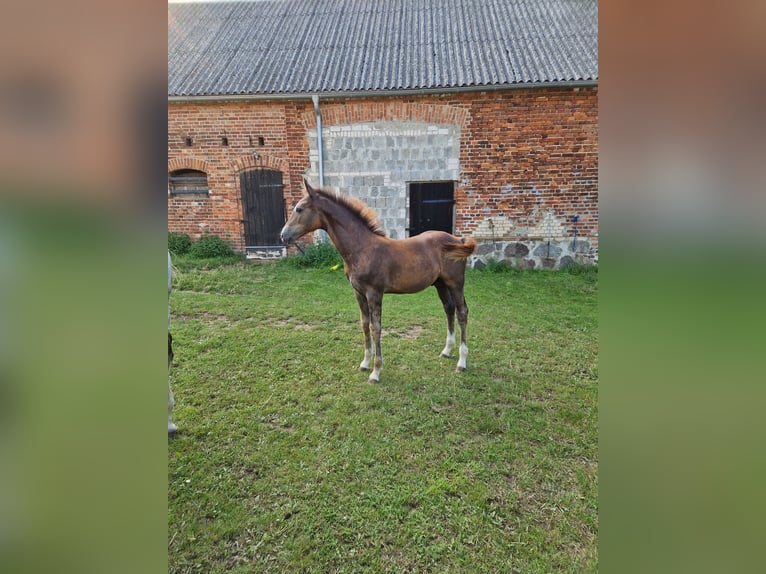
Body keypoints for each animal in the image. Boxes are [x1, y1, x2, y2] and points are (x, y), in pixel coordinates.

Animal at [280, 182, 476, 384]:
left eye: (299, 209)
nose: (283, 235)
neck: (362, 248)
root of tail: (457, 239)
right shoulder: (358, 293)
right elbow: (364, 324)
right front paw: (365, 363)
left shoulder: (374, 293)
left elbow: (376, 328)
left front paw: (376, 372)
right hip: (440, 284)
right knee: (449, 309)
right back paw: (447, 351)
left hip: (456, 283)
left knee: (462, 312)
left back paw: (461, 362)